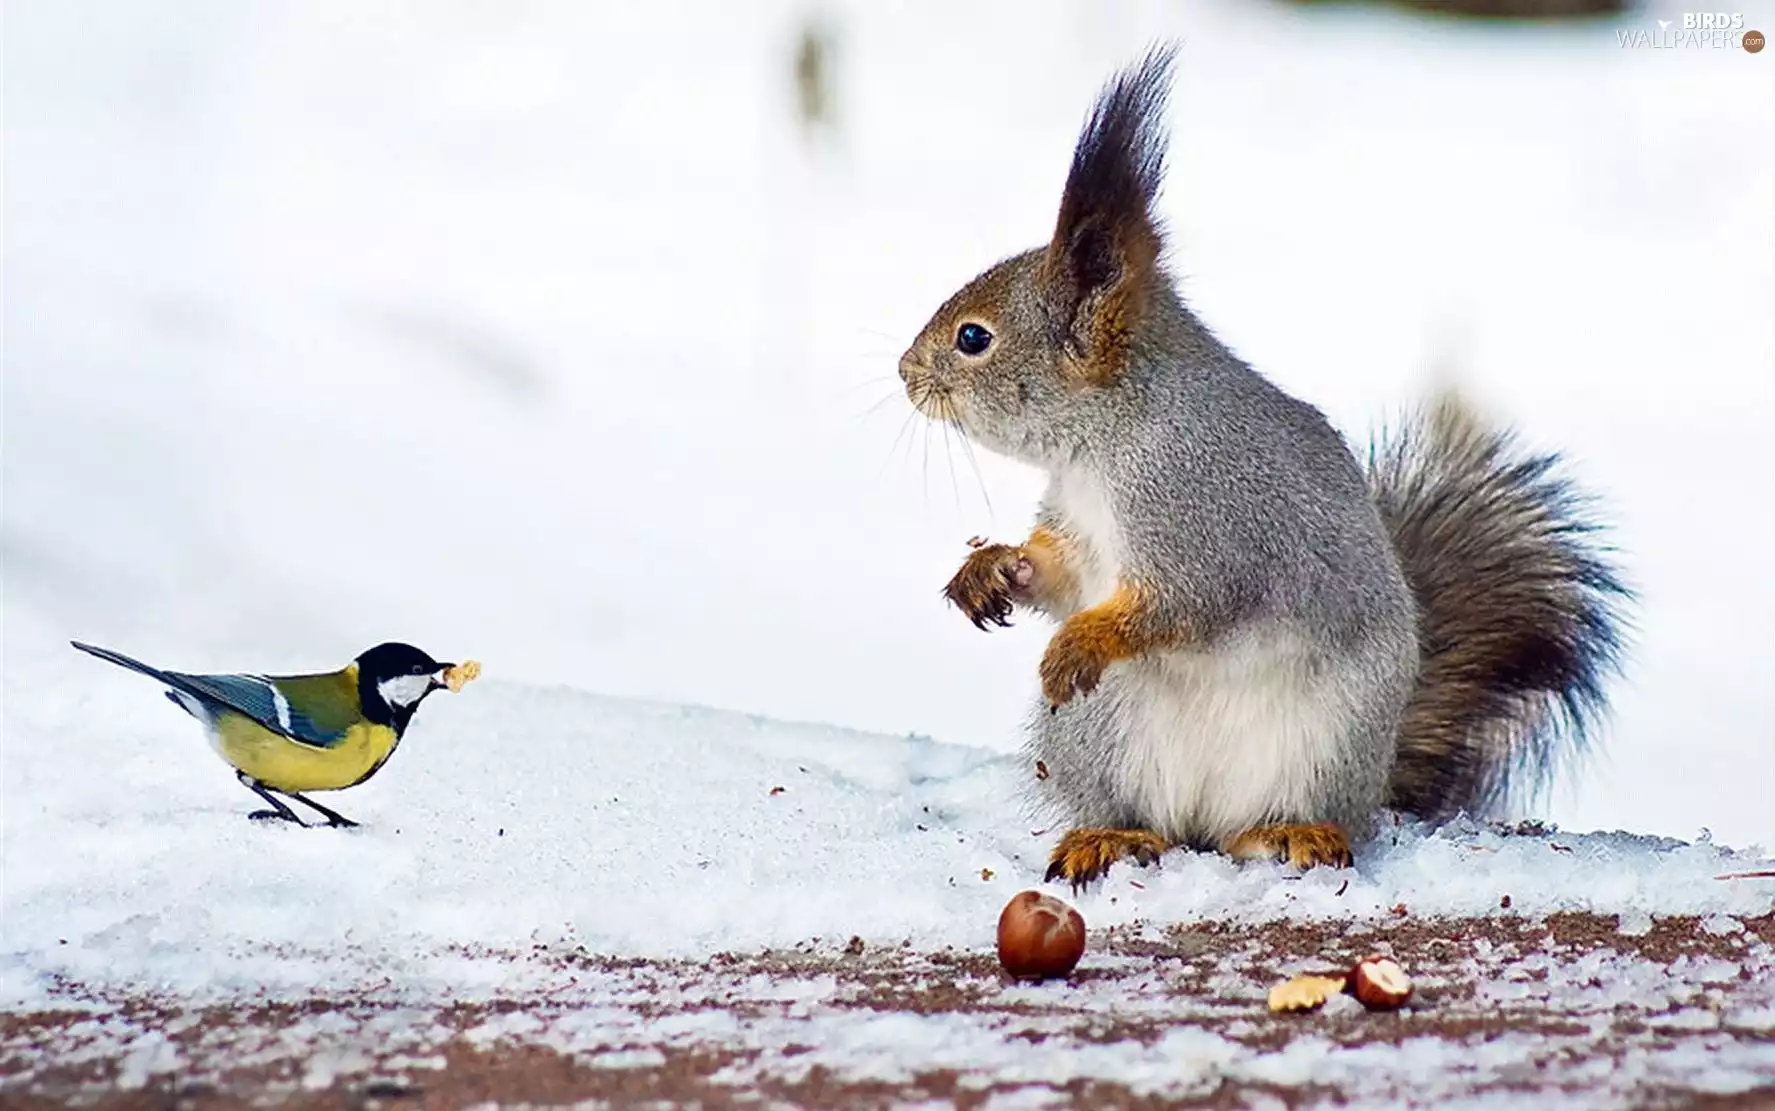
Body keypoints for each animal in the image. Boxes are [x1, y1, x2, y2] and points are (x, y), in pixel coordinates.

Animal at [898, 45, 1630, 888]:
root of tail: (1205, 817)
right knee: (1146, 817)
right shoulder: (1079, 530)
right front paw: (990, 570)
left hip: (1322, 740)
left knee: (1270, 816)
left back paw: (1290, 832)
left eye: (973, 339)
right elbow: (1057, 574)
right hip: (1103, 733)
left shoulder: (1208, 517)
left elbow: (1183, 604)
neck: (1102, 449)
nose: (903, 372)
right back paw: (1110, 835)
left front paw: (1081, 640)